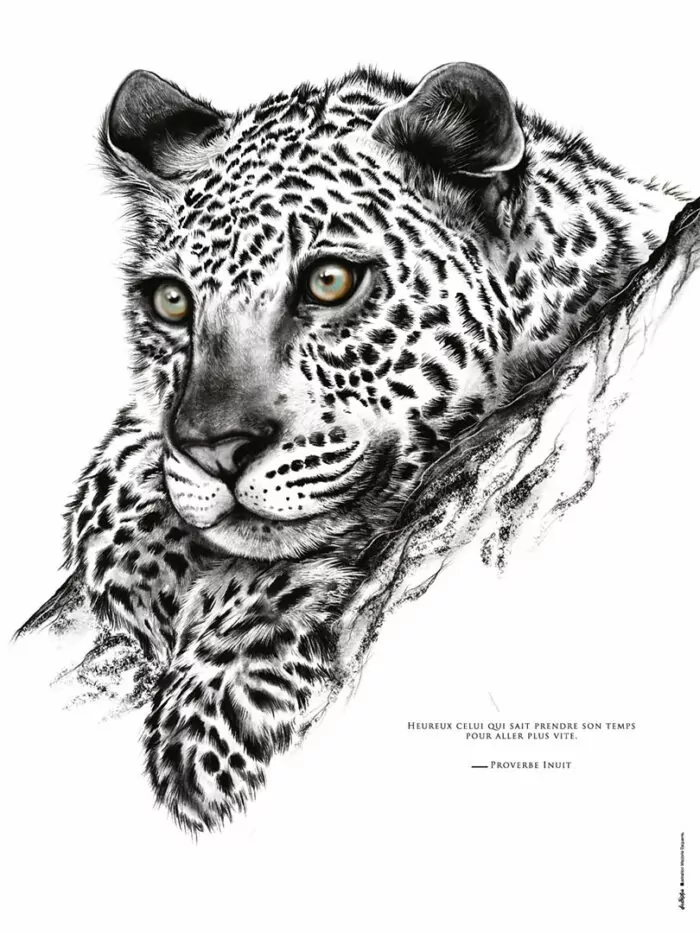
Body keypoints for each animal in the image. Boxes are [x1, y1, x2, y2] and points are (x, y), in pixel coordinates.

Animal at [23, 62, 686, 832]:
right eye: (172, 301)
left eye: (329, 281)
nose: (214, 449)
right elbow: (132, 455)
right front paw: (134, 566)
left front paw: (211, 707)